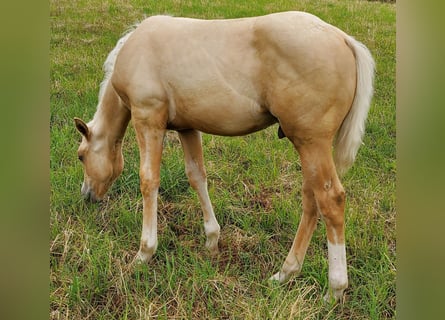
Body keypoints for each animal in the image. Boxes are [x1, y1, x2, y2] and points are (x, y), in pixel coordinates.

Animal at [74, 12, 372, 302]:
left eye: (81, 156)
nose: (87, 195)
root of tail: (343, 38)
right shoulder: (187, 127)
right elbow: (197, 176)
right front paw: (212, 239)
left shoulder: (148, 119)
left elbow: (149, 181)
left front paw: (144, 253)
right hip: (309, 148)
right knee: (312, 200)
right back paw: (285, 273)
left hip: (311, 143)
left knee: (330, 200)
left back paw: (334, 290)